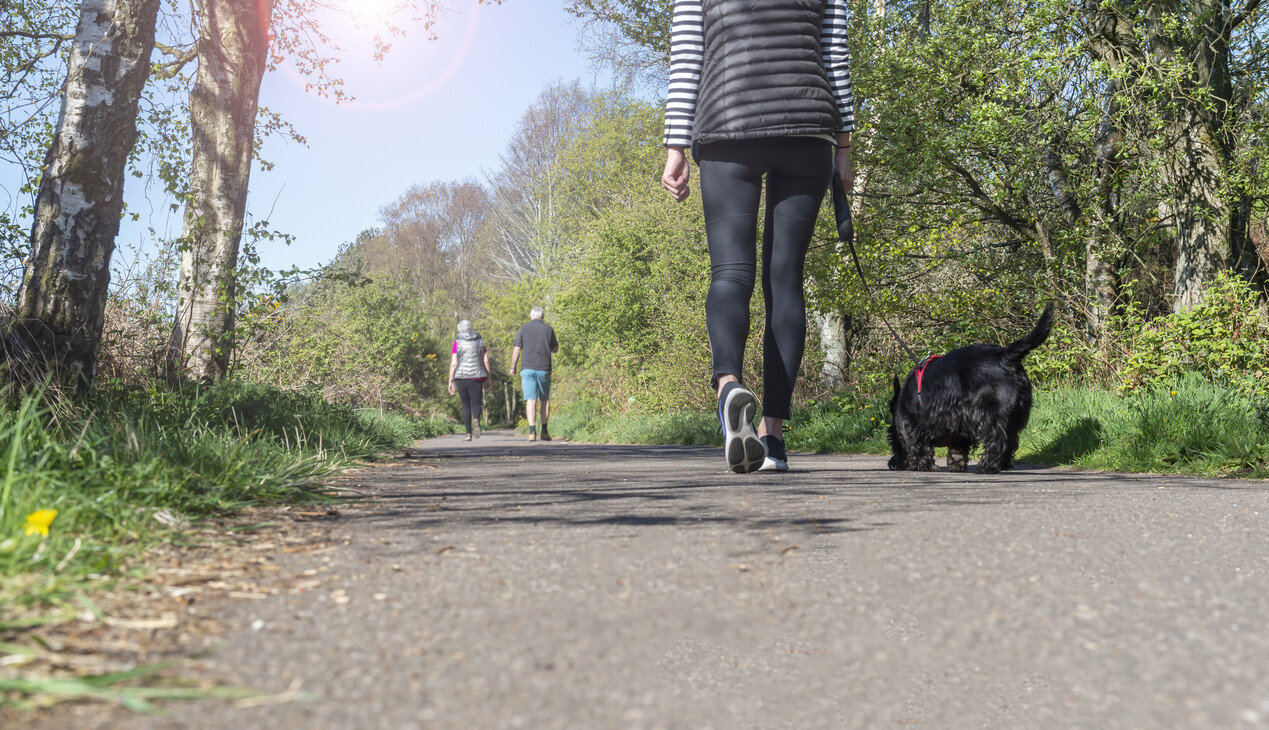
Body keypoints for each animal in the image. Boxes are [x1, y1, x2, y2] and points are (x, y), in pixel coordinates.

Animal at [888, 305, 1055, 477]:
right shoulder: (959, 421)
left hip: (990, 414)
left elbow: (916, 444)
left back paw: (987, 467)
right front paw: (956, 462)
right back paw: (1002, 464)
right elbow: (958, 445)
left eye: (891, 440)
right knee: (1010, 440)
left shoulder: (914, 423)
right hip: (1014, 415)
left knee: (997, 439)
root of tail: (1005, 356)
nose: (892, 464)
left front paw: (920, 464)